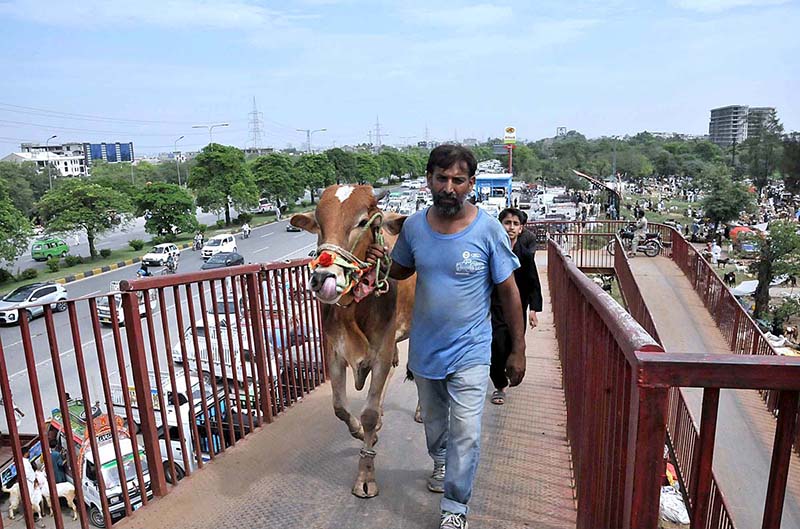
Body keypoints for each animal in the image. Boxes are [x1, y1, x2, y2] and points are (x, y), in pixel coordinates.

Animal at [290, 184, 416, 498]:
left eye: (362, 222)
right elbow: (340, 407)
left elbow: (368, 412)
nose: (322, 277)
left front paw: (365, 477)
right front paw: (359, 431)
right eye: (319, 224)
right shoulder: (334, 352)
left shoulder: (382, 350)